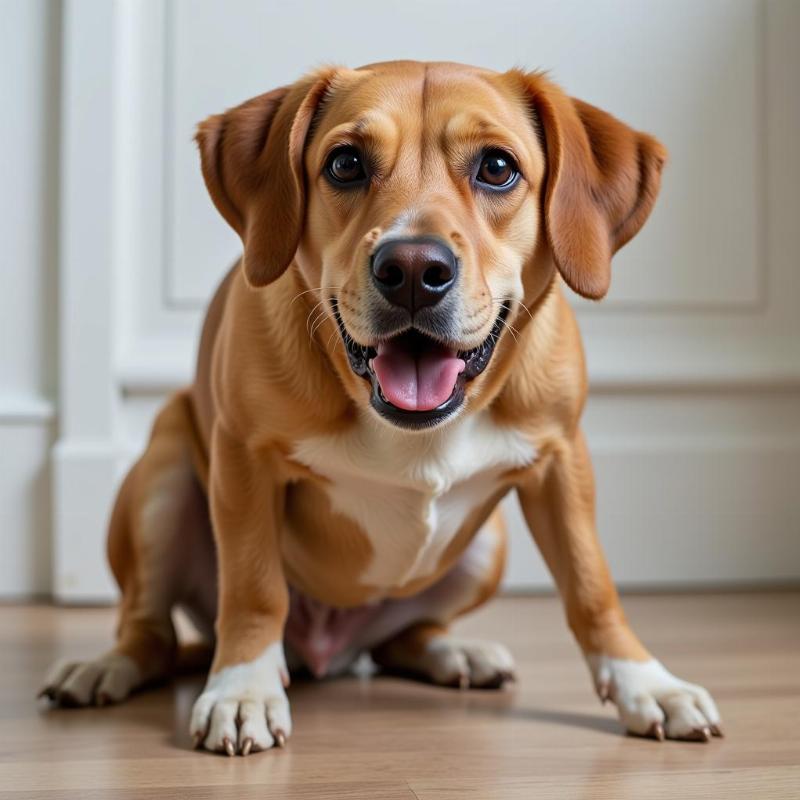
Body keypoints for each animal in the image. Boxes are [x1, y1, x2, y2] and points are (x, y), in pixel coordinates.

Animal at [40, 61, 720, 752]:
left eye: (498, 167)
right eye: (345, 164)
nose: (414, 268)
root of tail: (328, 652)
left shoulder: (562, 460)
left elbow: (591, 586)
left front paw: (645, 682)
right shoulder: (243, 459)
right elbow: (255, 589)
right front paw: (241, 689)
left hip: (487, 549)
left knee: (403, 639)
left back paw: (455, 653)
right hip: (165, 475)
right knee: (148, 629)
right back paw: (106, 667)